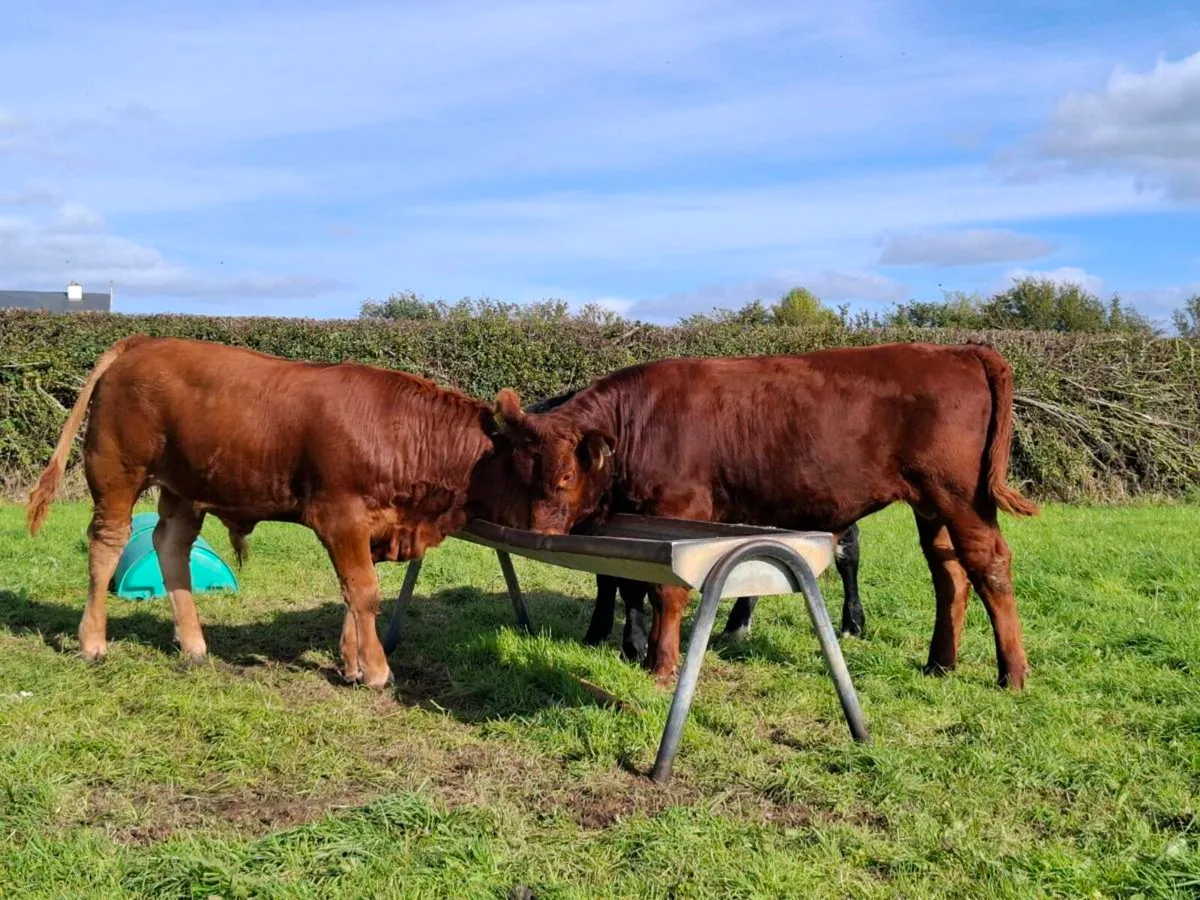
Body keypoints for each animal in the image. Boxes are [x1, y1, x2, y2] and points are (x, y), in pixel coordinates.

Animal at [26, 335, 541, 689]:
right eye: (543, 467)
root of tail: (143, 341)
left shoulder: (371, 527)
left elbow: (355, 590)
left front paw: (352, 662)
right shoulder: (340, 515)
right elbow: (364, 590)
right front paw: (376, 670)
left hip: (183, 487)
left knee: (171, 548)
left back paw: (193, 646)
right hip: (117, 473)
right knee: (107, 544)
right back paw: (93, 642)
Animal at [525, 390, 865, 663]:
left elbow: (631, 586)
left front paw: (634, 645)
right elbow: (609, 580)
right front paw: (598, 633)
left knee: (847, 553)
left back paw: (852, 624)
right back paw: (736, 627)